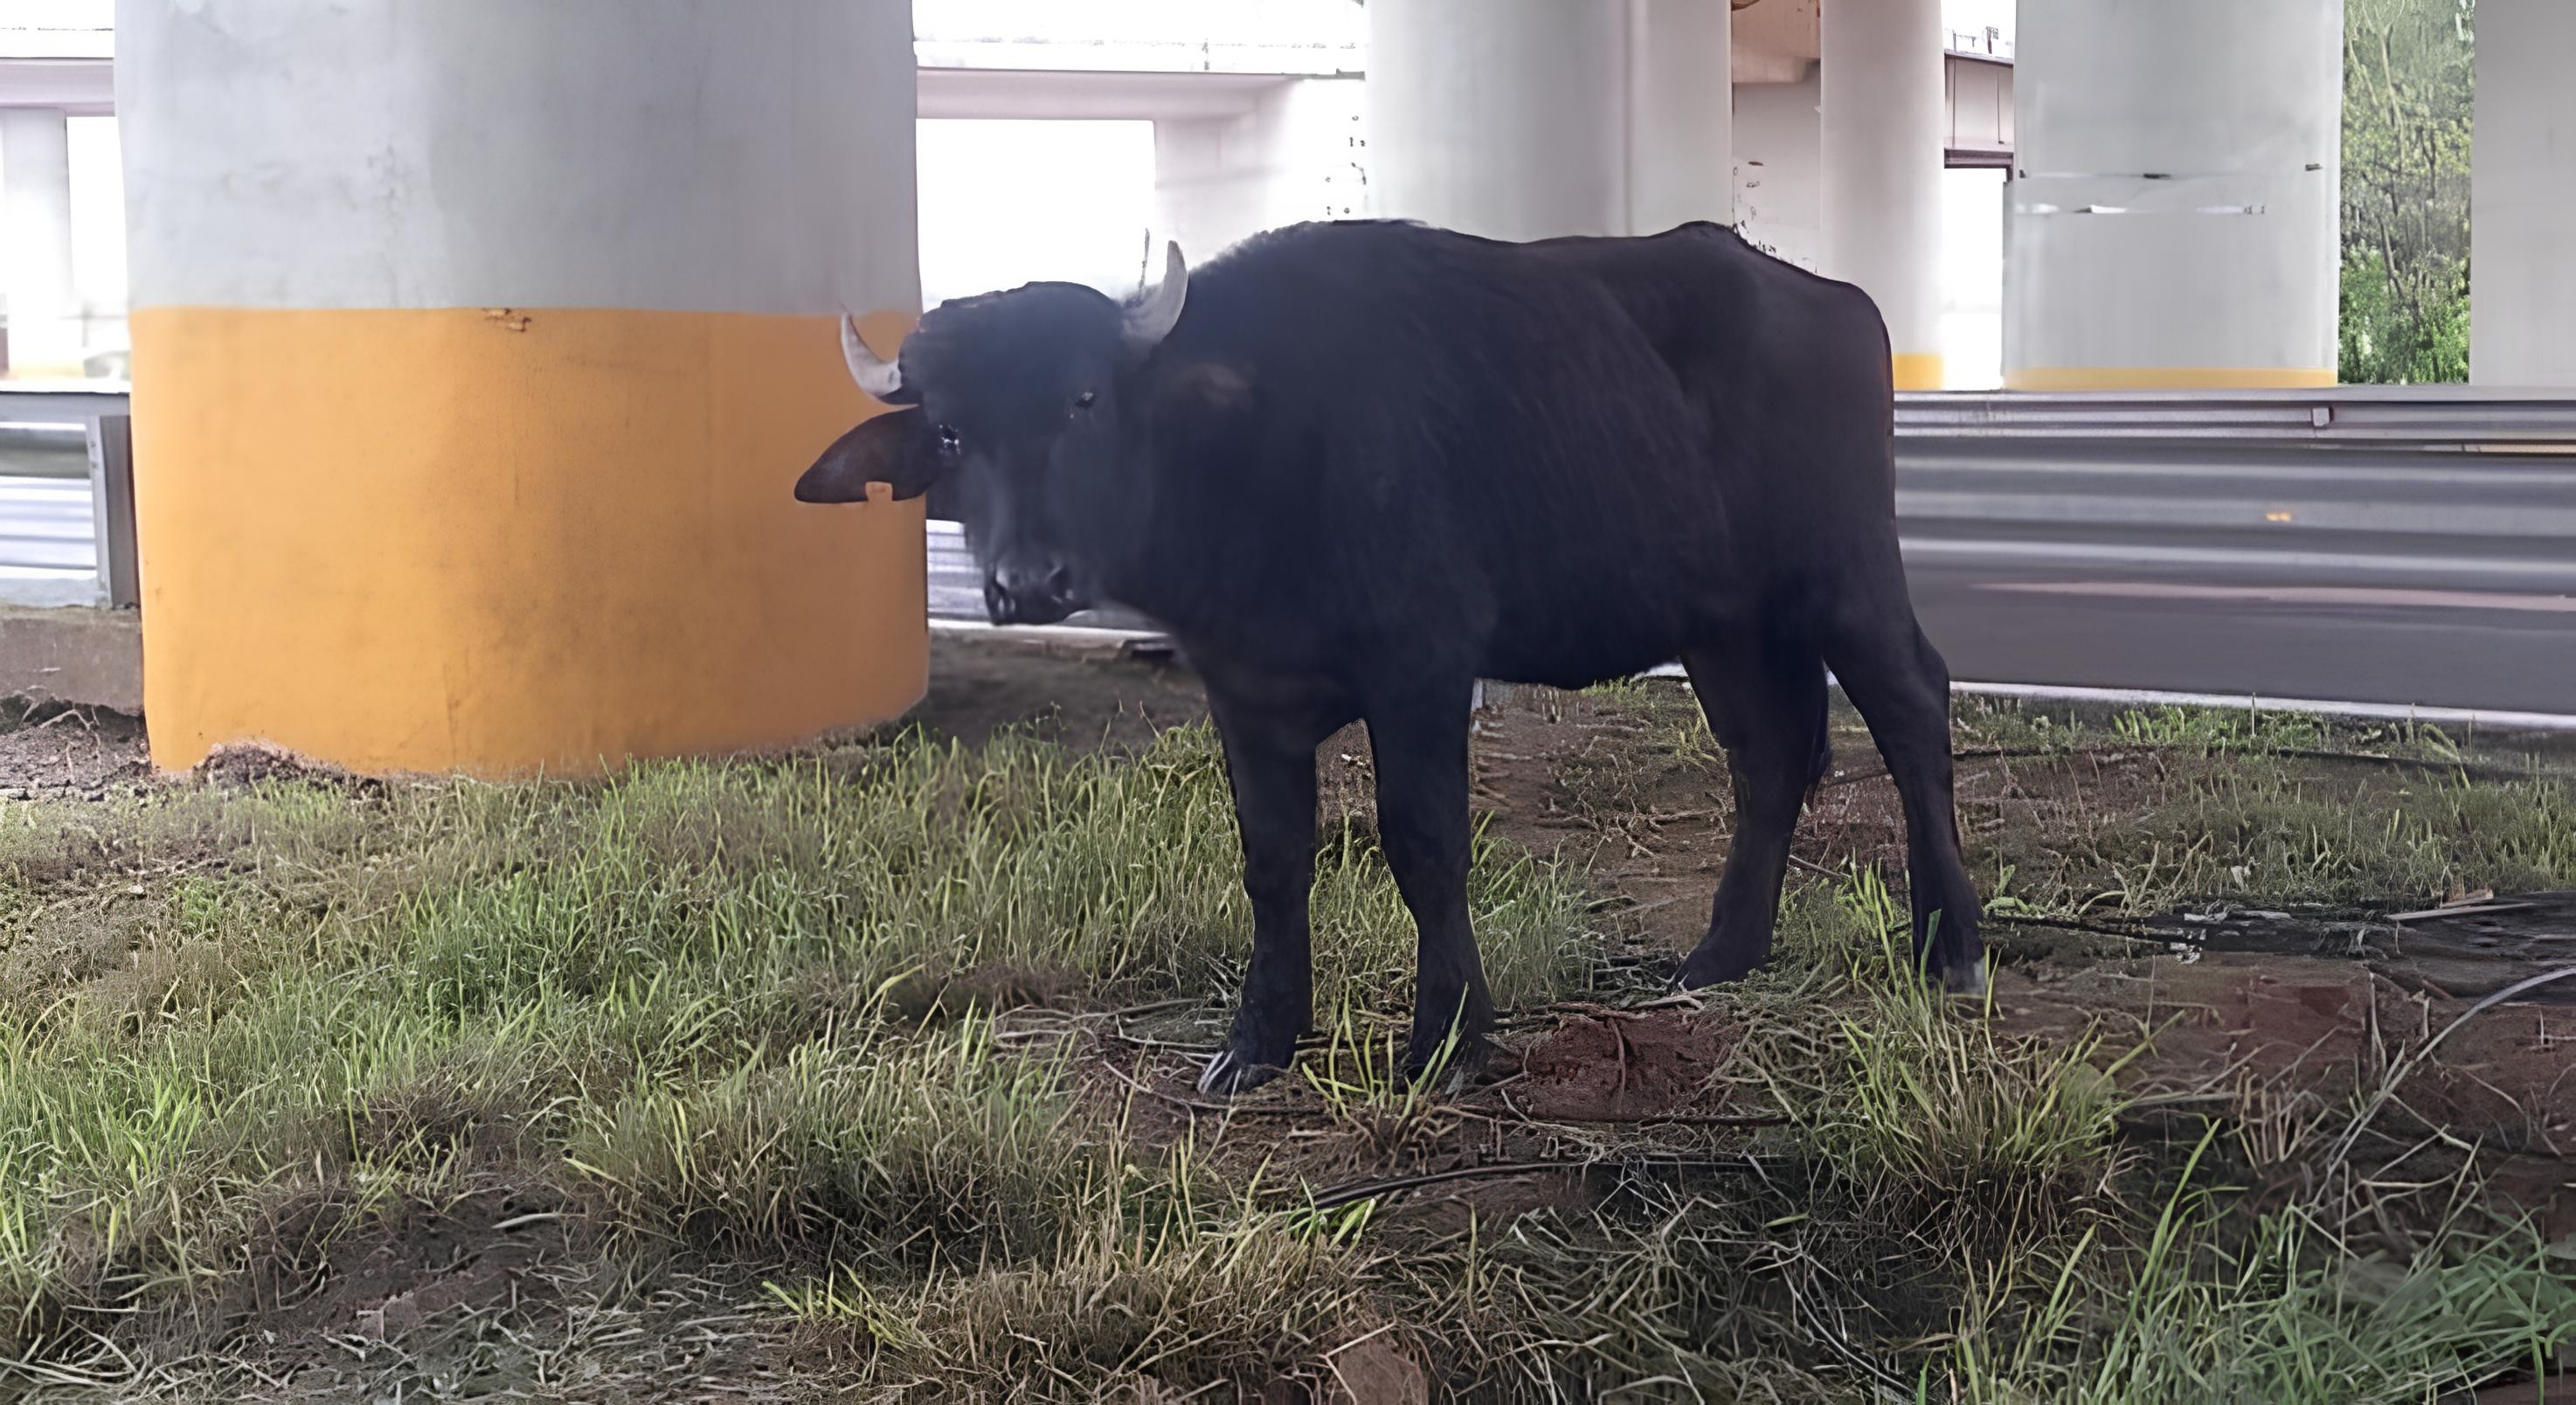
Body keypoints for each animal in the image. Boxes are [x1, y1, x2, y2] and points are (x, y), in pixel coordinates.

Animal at [793, 221, 1978, 1092]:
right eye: (951, 431)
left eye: (1083, 399)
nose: (1027, 583)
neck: (1253, 465)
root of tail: (1820, 296)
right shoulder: (1245, 697)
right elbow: (1271, 863)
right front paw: (1255, 1043)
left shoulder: (1420, 671)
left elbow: (1424, 844)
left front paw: (1448, 1040)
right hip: (1721, 622)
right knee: (1766, 757)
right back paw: (1720, 954)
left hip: (1844, 569)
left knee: (1912, 707)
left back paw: (1952, 942)